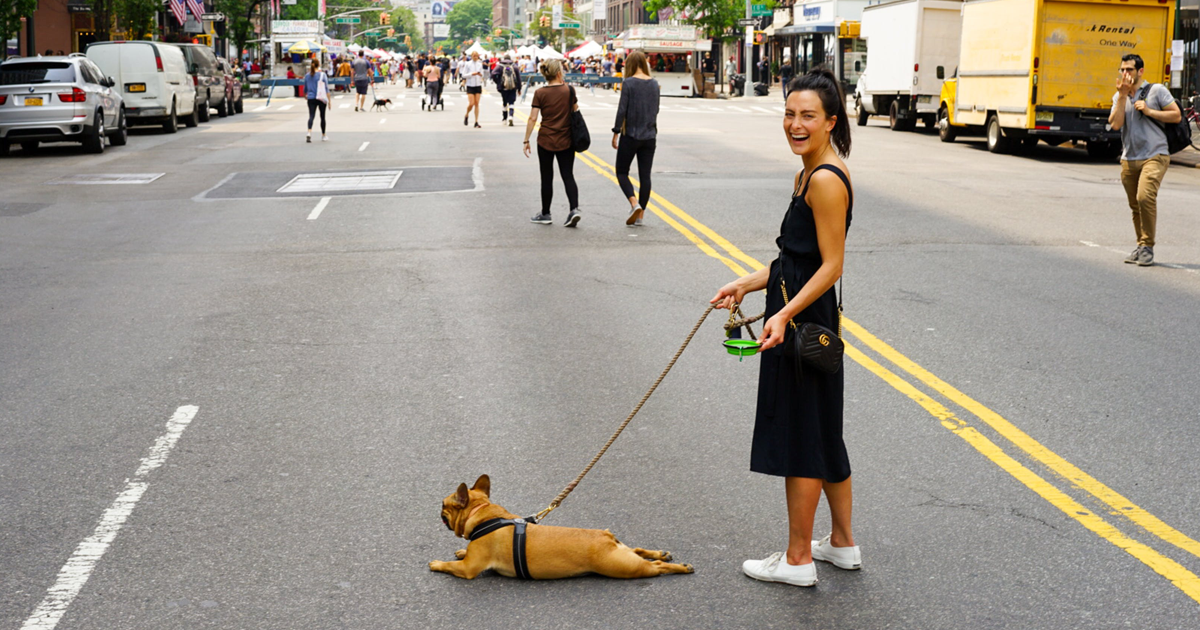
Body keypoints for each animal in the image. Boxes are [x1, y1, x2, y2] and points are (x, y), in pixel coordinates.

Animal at [429, 470, 696, 580]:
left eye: (443, 504)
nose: (437, 509)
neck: (484, 515)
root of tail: (606, 536)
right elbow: (463, 553)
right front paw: (461, 550)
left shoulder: (468, 569)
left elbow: (452, 566)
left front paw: (436, 563)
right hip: (624, 555)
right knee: (639, 550)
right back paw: (661, 553)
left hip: (624, 567)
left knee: (656, 568)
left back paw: (681, 567)